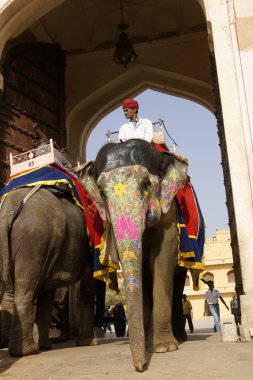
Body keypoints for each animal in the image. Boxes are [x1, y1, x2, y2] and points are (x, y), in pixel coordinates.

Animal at [0, 184, 96, 356]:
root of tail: (6, 212)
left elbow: (47, 295)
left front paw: (45, 346)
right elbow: (86, 286)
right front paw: (90, 342)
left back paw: (25, 349)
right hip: (34, 243)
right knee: (25, 291)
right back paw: (28, 350)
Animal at [80, 139, 189, 372]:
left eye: (146, 184)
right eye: (101, 192)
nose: (140, 367)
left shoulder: (169, 210)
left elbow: (163, 256)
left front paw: (164, 348)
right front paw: (150, 346)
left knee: (177, 284)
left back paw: (180, 338)